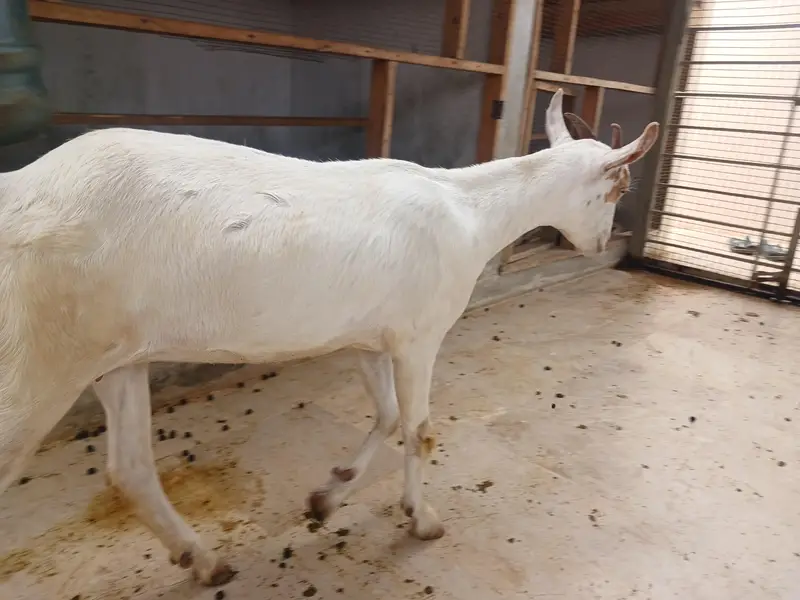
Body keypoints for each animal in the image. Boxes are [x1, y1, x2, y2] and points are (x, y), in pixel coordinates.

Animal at [0, 89, 658, 585]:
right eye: (619, 187)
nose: (602, 242)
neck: (470, 210)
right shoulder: (419, 334)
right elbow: (419, 430)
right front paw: (422, 520)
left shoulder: (366, 337)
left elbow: (387, 417)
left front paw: (328, 496)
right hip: (37, 357)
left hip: (114, 356)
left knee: (131, 469)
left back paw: (205, 560)